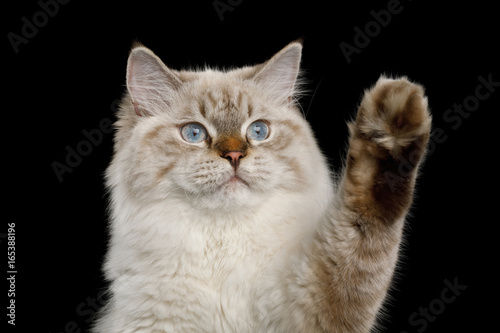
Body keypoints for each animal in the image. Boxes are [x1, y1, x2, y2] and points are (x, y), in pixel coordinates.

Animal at [94, 40, 434, 330]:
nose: (234, 155)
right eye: (194, 133)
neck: (223, 244)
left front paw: (392, 129)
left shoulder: (311, 309)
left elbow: (364, 225)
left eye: (258, 131)